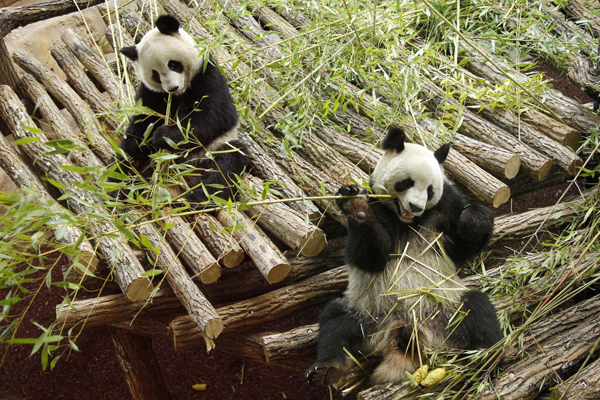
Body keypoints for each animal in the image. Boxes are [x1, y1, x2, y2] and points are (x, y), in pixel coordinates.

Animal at [113, 14, 247, 203]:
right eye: (155, 74)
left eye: (173, 64)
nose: (172, 88)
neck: (180, 94)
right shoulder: (151, 94)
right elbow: (141, 127)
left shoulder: (207, 74)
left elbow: (212, 118)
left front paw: (163, 135)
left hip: (211, 151)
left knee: (226, 166)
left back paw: (196, 199)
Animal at [304, 128, 502, 388]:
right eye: (407, 182)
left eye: (430, 190)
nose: (416, 207)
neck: (407, 220)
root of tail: (406, 330)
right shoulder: (377, 206)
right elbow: (369, 257)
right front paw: (356, 206)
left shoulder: (446, 206)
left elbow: (460, 248)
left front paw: (473, 222)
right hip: (368, 315)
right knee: (335, 323)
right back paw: (326, 369)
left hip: (446, 308)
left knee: (478, 309)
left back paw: (487, 354)